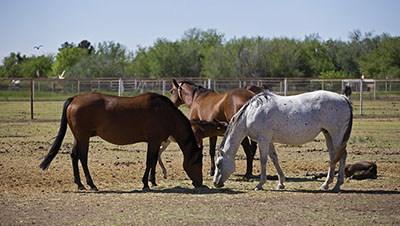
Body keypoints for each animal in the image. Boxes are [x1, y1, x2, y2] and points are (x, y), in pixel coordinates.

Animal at [39, 92, 203, 191]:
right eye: (198, 162)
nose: (200, 183)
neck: (165, 112)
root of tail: (75, 98)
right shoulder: (154, 141)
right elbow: (149, 161)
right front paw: (145, 183)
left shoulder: (155, 142)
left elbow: (153, 161)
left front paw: (151, 181)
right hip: (83, 137)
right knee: (83, 158)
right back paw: (91, 184)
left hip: (78, 137)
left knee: (74, 156)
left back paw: (79, 184)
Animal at [214, 90, 352, 192]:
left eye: (218, 164)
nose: (216, 183)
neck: (250, 114)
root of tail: (343, 97)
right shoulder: (269, 141)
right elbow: (274, 159)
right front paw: (281, 183)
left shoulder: (263, 139)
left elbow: (263, 160)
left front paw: (259, 185)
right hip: (328, 134)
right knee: (333, 156)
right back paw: (325, 184)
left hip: (337, 136)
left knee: (343, 156)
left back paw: (337, 185)